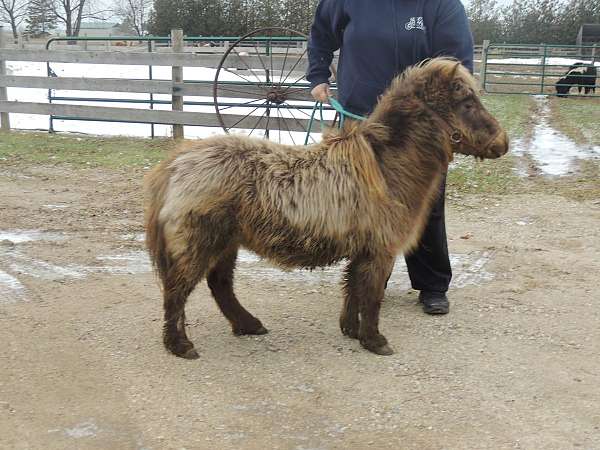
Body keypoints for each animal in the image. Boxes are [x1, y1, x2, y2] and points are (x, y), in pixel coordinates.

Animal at [144, 57, 506, 358]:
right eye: (467, 102)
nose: (502, 143)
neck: (384, 166)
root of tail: (177, 163)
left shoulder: (364, 250)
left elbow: (353, 288)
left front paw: (352, 331)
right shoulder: (380, 251)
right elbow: (371, 295)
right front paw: (375, 341)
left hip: (226, 243)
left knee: (220, 286)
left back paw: (248, 325)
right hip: (202, 243)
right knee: (177, 290)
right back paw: (180, 345)